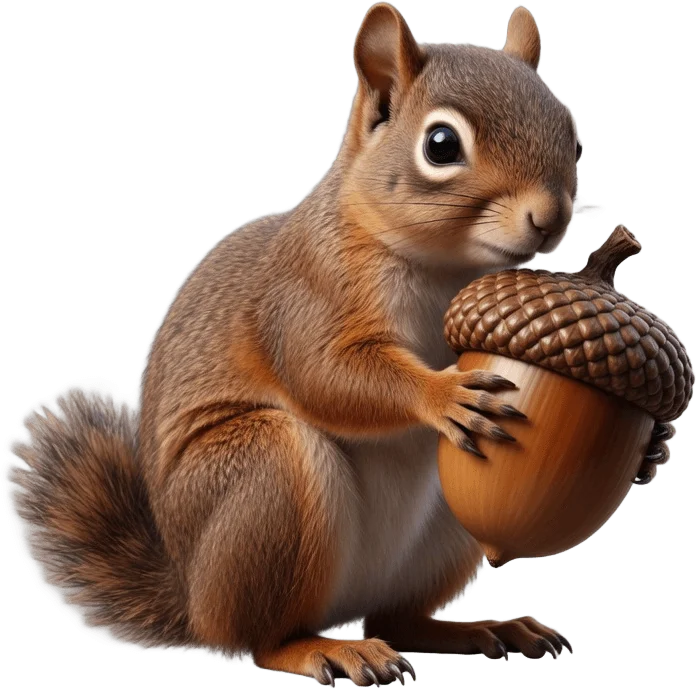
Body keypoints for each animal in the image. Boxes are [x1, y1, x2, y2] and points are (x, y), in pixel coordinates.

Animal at [15, 4, 675, 687]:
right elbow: (327, 374)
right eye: (441, 145)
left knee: (399, 619)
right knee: (262, 638)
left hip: (444, 534)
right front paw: (442, 393)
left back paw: (479, 629)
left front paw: (654, 444)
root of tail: (194, 598)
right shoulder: (307, 293)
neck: (446, 267)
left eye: (575, 140)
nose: (550, 219)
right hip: (266, 479)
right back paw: (325, 649)